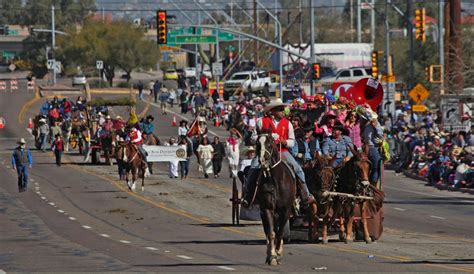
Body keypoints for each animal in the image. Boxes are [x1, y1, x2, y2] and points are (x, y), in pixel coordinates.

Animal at [254, 133, 294, 266]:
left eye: (270, 144)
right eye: (257, 144)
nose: (262, 161)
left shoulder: (286, 210)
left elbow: (280, 233)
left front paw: (278, 253)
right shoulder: (267, 209)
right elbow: (271, 233)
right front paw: (272, 256)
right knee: (268, 232)